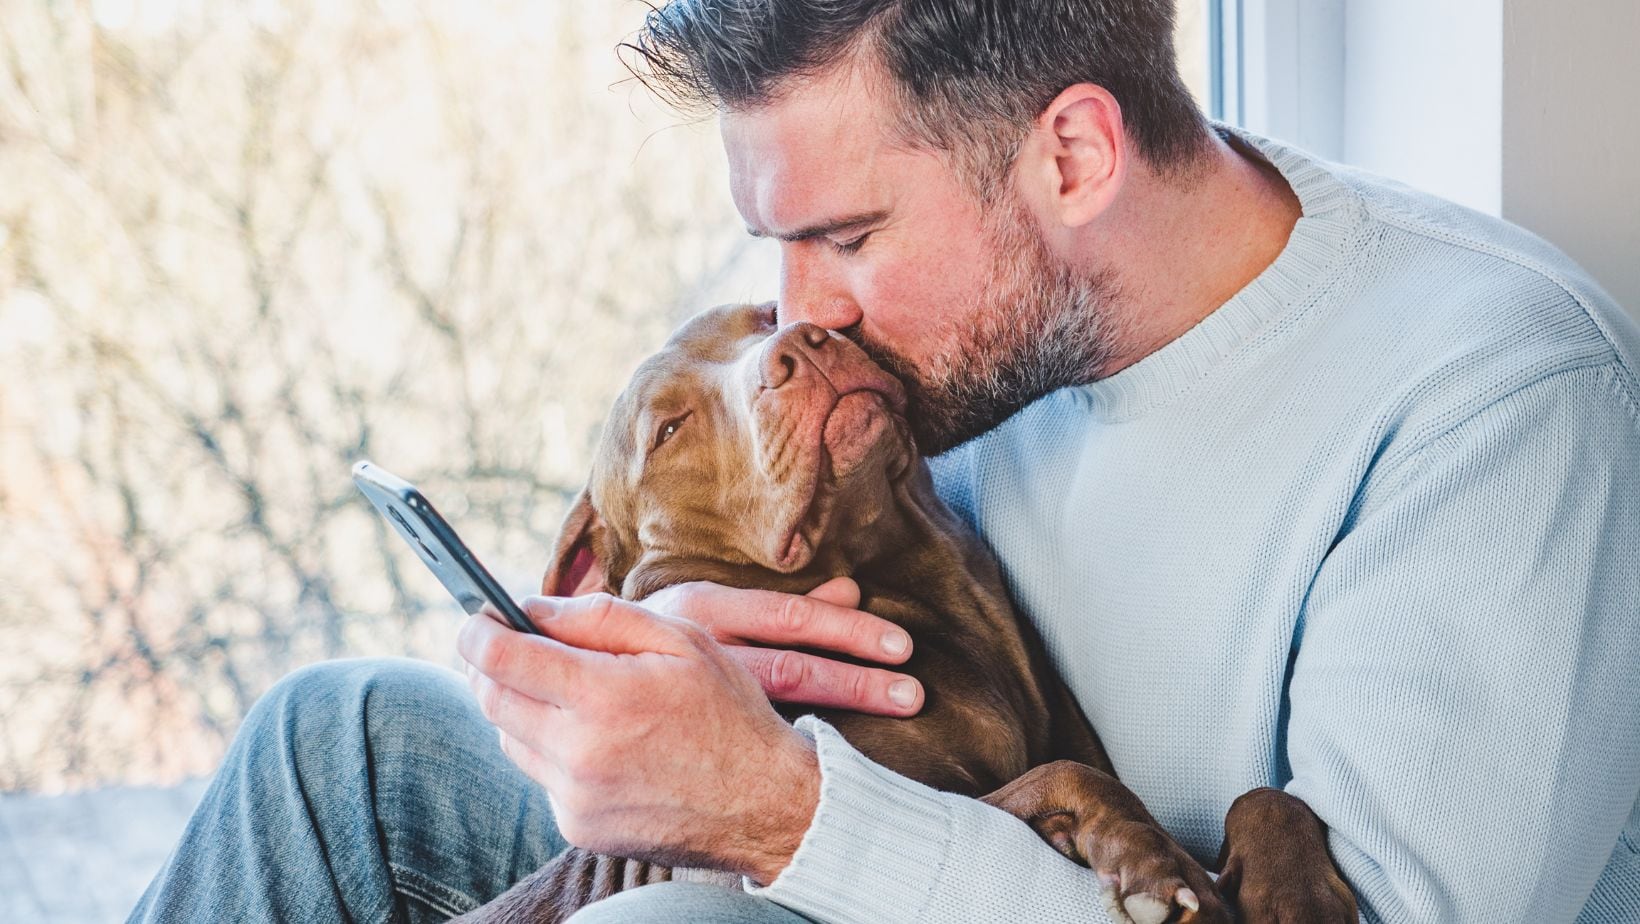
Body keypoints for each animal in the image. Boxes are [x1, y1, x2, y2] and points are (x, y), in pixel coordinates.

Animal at [452, 305, 1357, 924]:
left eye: (764, 314)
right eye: (668, 429)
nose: (802, 344)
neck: (926, 576)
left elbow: (1265, 796)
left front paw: (1297, 893)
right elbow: (1065, 775)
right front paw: (1152, 865)